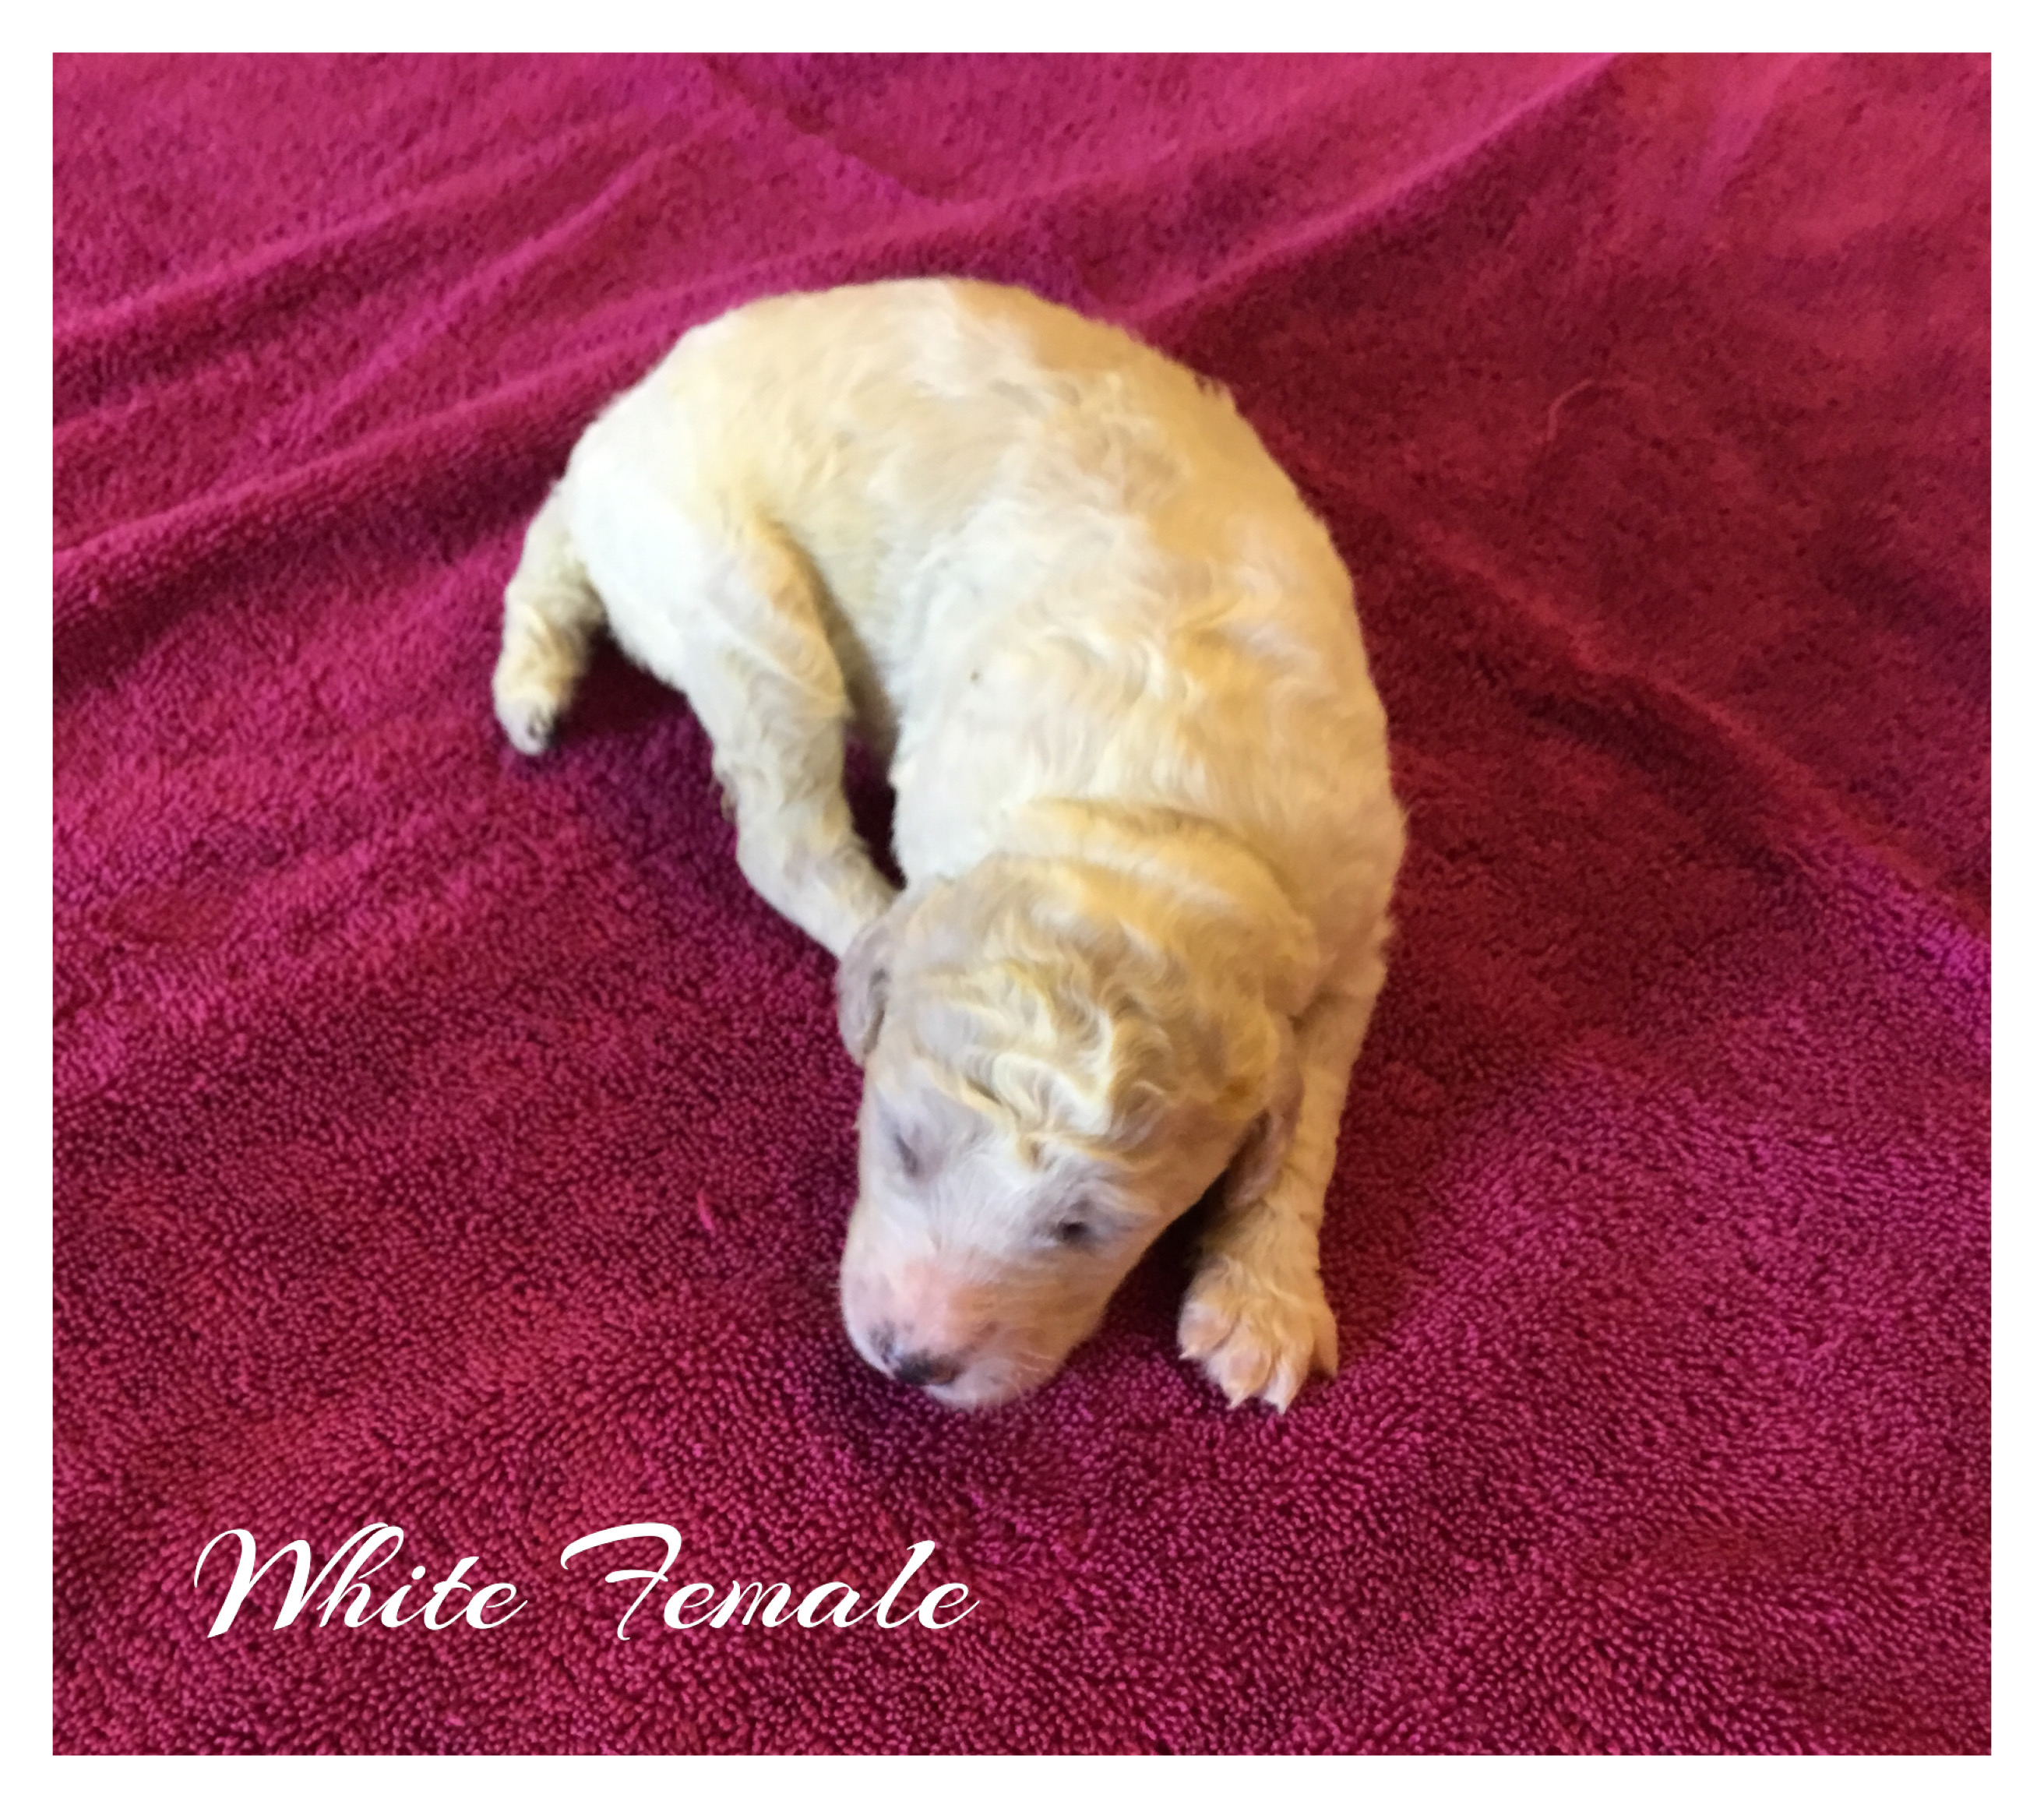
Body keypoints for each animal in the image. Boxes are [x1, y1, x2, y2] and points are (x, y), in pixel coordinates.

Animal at [493, 279, 1405, 1411]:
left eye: (1084, 1226)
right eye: (901, 1145)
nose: (910, 1359)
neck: (1154, 819)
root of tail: (618, 424)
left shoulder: (1350, 920)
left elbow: (1307, 1115)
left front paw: (1261, 1302)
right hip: (742, 600)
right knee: (784, 835)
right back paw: (862, 916)